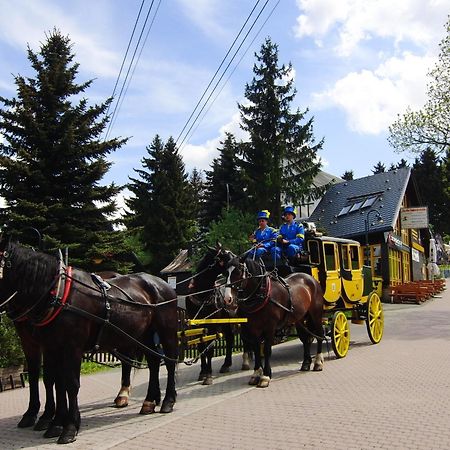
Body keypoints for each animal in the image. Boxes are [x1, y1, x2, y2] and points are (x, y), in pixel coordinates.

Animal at [0, 241, 179, 444]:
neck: (59, 292)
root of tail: (161, 283)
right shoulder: (50, 346)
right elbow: (55, 382)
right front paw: (53, 421)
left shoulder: (71, 347)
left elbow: (70, 384)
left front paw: (68, 427)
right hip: (144, 334)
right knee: (154, 362)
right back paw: (149, 401)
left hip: (166, 331)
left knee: (170, 361)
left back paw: (168, 400)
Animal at [185, 244, 251, 384]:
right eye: (226, 255)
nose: (241, 260)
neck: (202, 296)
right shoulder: (197, 326)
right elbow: (201, 347)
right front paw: (203, 372)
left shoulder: (213, 325)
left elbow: (209, 349)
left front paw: (208, 375)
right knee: (230, 339)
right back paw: (226, 364)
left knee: (245, 337)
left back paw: (246, 361)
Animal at [221, 255, 324, 388]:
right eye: (226, 273)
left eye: (238, 271)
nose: (227, 299)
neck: (261, 294)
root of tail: (310, 279)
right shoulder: (254, 328)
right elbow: (256, 349)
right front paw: (256, 374)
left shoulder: (270, 327)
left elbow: (266, 350)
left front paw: (265, 376)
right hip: (299, 318)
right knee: (305, 339)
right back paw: (306, 363)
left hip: (316, 315)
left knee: (319, 335)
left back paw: (318, 362)